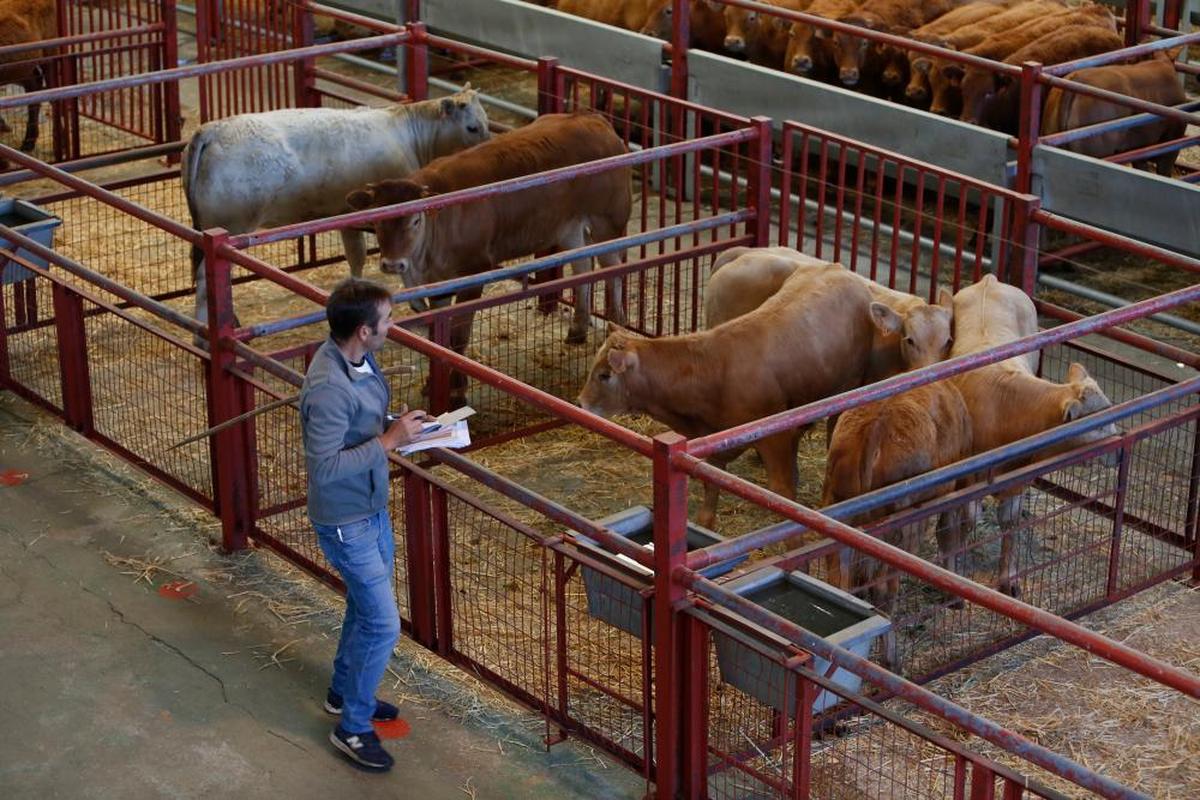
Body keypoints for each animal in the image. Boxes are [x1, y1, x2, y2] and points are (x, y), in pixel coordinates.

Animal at [181, 89, 487, 331]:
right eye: (473, 127)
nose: (487, 146)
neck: (408, 135)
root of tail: (211, 130)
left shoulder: (345, 217)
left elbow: (356, 257)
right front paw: (417, 304)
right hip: (232, 224)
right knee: (206, 280)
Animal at [345, 113, 633, 400]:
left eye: (415, 220)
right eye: (377, 221)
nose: (393, 264)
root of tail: (594, 119)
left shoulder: (474, 274)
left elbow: (458, 337)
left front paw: (457, 389)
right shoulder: (438, 285)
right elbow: (439, 338)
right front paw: (432, 383)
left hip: (607, 222)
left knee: (614, 272)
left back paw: (617, 327)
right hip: (569, 228)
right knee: (583, 265)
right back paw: (578, 329)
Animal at [583, 262, 955, 527]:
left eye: (604, 375)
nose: (582, 404)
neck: (712, 366)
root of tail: (838, 269)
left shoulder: (775, 438)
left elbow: (782, 492)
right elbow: (710, 489)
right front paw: (705, 522)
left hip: (845, 389)